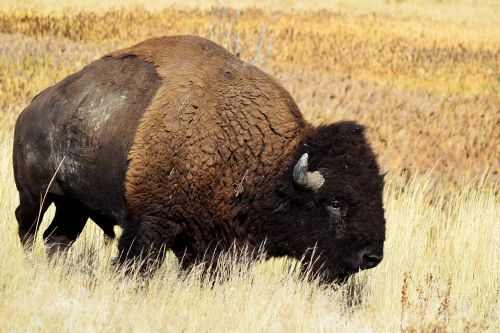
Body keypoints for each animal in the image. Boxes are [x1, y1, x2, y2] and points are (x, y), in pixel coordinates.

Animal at [13, 35, 384, 280]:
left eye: (377, 193)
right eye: (335, 202)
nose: (372, 256)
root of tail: (31, 108)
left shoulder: (210, 244)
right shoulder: (150, 226)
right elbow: (137, 265)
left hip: (73, 208)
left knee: (56, 238)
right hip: (36, 196)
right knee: (28, 228)